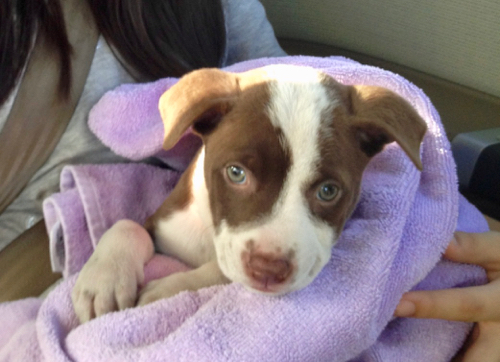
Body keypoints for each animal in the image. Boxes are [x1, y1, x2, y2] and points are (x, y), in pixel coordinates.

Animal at [72, 65, 428, 322]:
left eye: (328, 191)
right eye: (236, 173)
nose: (268, 271)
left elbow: (220, 272)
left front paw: (169, 289)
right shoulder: (165, 220)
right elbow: (128, 225)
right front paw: (102, 281)